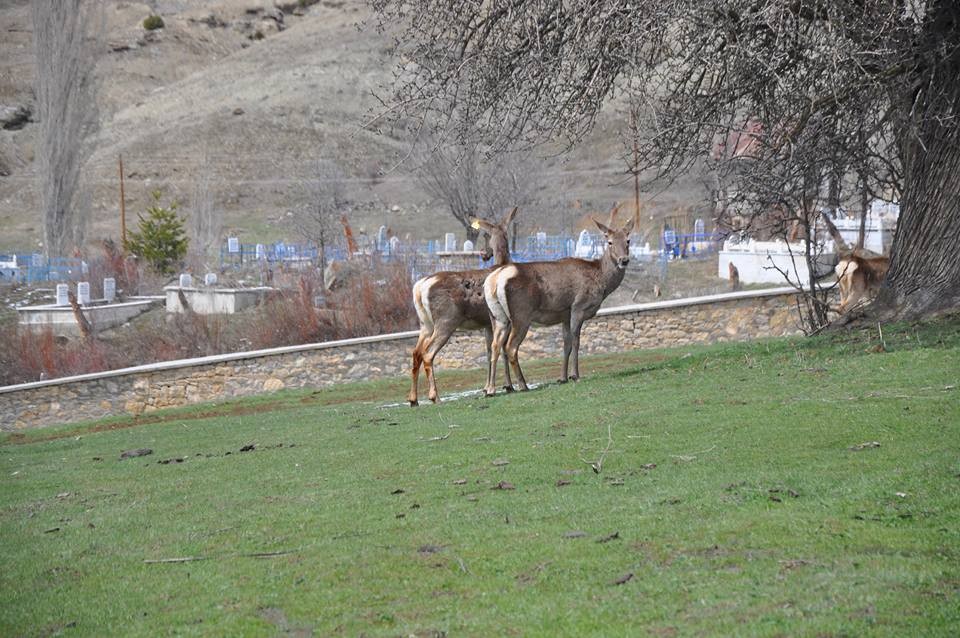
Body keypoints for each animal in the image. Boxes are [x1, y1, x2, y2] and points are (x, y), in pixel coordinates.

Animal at [410, 208, 520, 404]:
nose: (484, 253)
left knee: (416, 354)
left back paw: (413, 399)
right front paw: (507, 386)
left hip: (425, 324)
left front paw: (488, 387)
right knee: (428, 353)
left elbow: (489, 351)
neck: (503, 262)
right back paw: (435, 396)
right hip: (446, 320)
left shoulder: (486, 324)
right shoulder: (500, 320)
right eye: (485, 235)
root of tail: (420, 288)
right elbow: (503, 350)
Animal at [484, 208, 632, 396]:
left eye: (628, 240)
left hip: (498, 317)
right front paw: (575, 375)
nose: (624, 260)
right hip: (521, 315)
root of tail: (494, 279)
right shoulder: (578, 307)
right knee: (510, 347)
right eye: (610, 241)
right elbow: (576, 341)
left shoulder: (565, 314)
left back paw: (491, 389)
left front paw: (563, 377)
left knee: (495, 346)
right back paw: (523, 385)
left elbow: (566, 344)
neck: (602, 282)